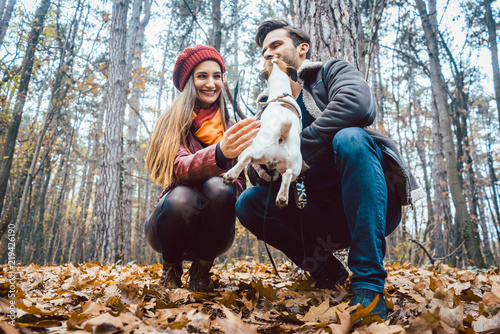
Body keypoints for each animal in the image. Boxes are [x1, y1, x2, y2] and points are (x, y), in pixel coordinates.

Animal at [225, 58, 302, 207]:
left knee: (246, 157)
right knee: (288, 173)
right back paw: (282, 198)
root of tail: (282, 134)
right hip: (293, 165)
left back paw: (230, 176)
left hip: (253, 148)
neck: (280, 92)